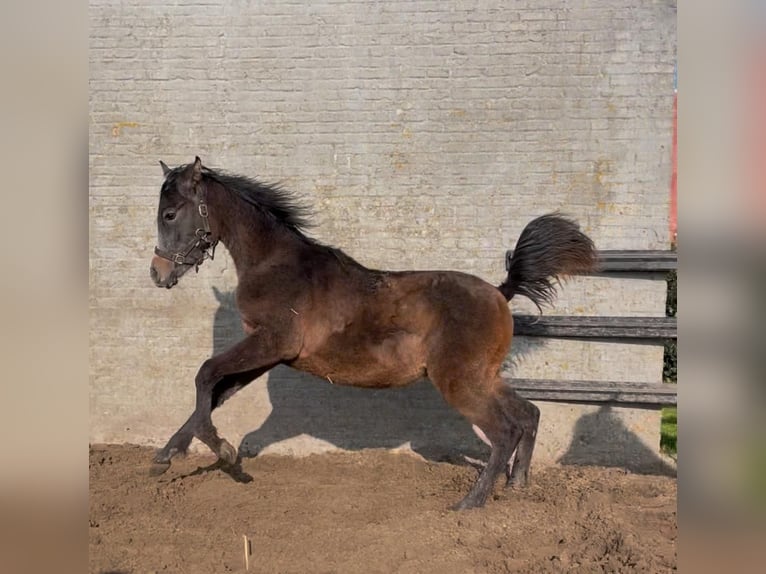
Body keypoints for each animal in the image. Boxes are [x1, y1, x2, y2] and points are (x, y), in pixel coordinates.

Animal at [150, 155, 600, 510]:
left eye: (170, 214)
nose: (158, 273)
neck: (276, 265)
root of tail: (501, 292)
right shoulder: (270, 354)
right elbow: (215, 394)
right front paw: (165, 456)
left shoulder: (269, 343)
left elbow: (206, 374)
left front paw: (222, 451)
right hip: (484, 377)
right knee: (528, 414)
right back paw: (518, 485)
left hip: (461, 382)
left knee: (505, 430)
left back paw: (470, 502)